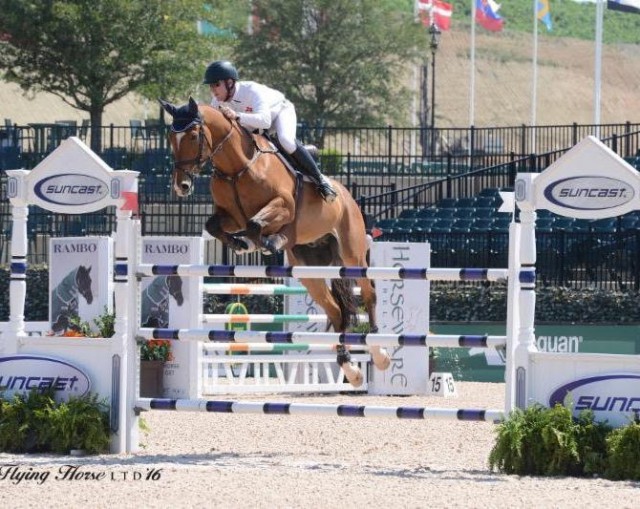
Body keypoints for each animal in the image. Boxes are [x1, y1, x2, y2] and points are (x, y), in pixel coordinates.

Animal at [159, 97, 391, 387]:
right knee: (337, 311)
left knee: (369, 295)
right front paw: (244, 244)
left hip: (353, 255)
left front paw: (264, 242)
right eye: (171, 137)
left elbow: (256, 224)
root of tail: (348, 195)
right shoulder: (231, 217)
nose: (181, 186)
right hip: (309, 272)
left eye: (192, 135)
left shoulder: (284, 206)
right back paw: (350, 369)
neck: (236, 168)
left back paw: (380, 353)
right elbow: (217, 225)